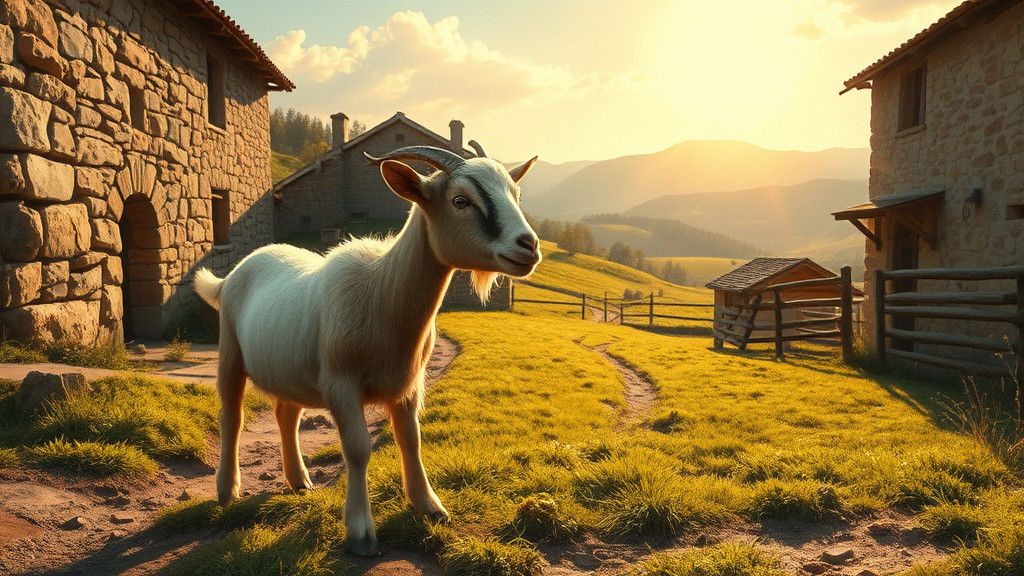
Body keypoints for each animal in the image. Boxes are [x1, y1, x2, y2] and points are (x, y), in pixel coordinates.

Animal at [193, 144, 539, 556]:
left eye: (517, 195)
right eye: (461, 200)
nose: (529, 246)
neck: (382, 292)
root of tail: (229, 277)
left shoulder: (409, 383)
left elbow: (410, 440)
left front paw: (429, 506)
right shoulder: (340, 382)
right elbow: (358, 449)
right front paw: (360, 532)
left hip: (291, 371)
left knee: (285, 414)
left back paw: (300, 481)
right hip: (230, 354)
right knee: (231, 416)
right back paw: (227, 490)